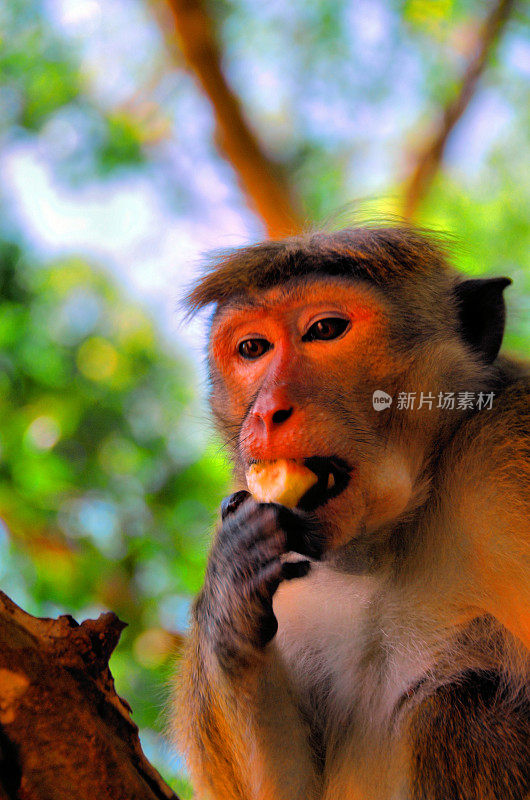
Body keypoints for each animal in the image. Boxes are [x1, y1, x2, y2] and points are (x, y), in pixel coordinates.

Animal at [171, 227, 524, 800]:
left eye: (326, 330)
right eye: (253, 349)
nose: (267, 412)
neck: (389, 542)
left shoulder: (506, 466)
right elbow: (288, 789)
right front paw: (230, 591)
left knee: (457, 706)